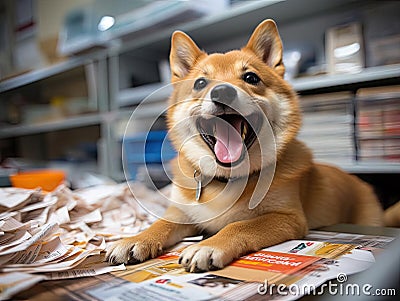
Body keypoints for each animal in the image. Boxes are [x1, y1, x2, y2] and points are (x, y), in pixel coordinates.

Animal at [107, 18, 396, 272]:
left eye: (251, 78)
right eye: (200, 82)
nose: (223, 91)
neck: (227, 180)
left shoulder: (287, 217)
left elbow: (239, 226)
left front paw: (209, 246)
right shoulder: (183, 213)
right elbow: (161, 223)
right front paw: (135, 239)